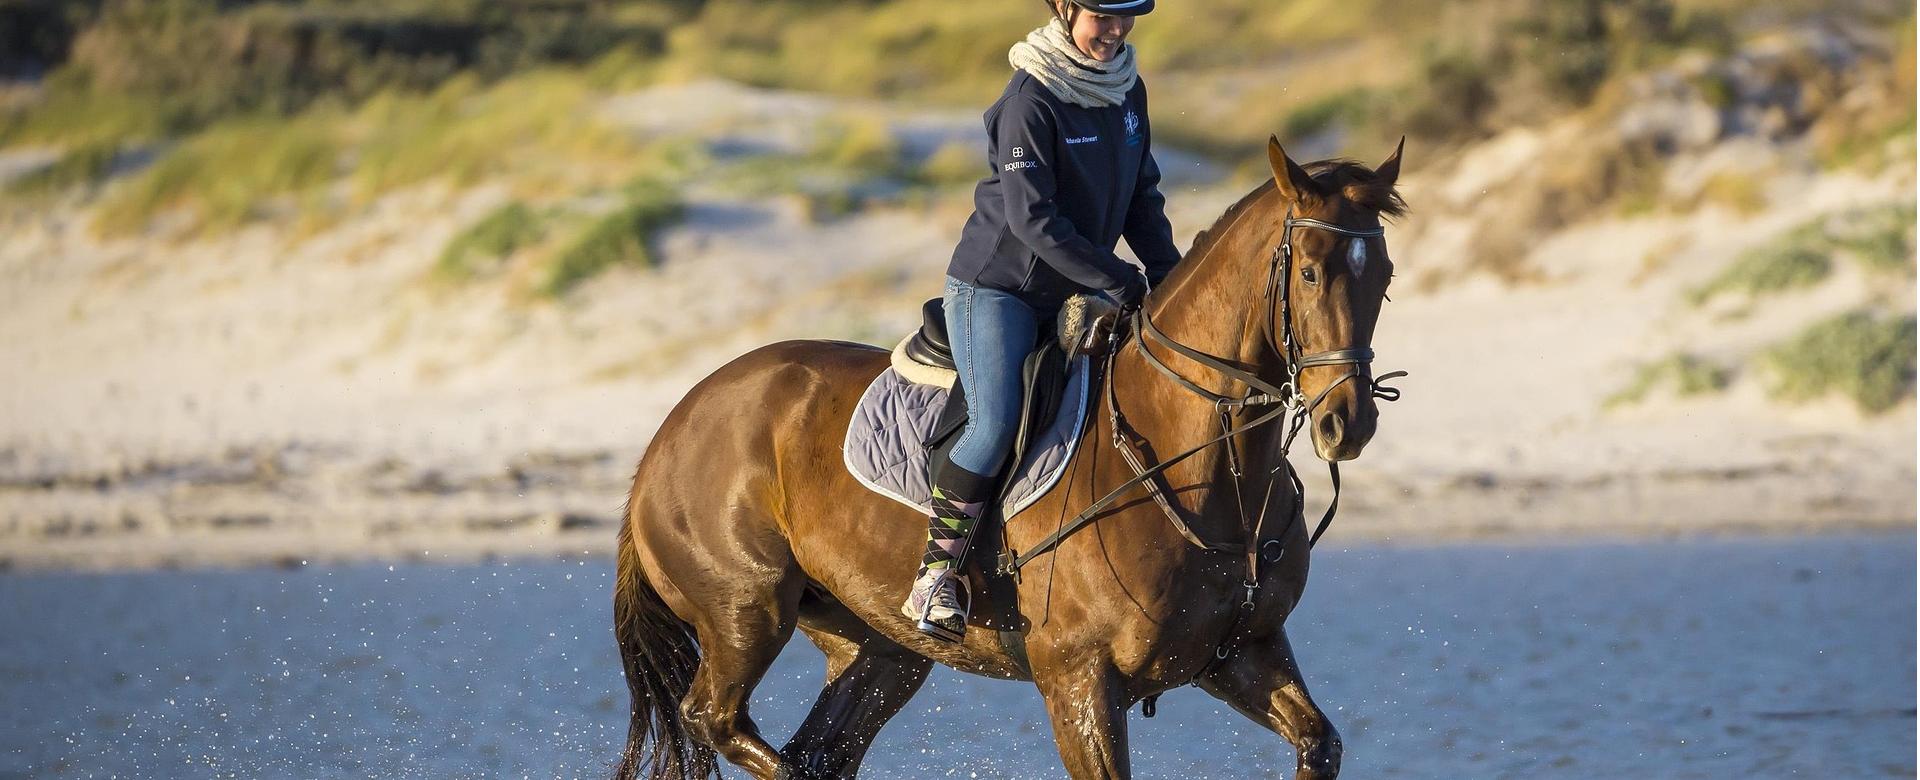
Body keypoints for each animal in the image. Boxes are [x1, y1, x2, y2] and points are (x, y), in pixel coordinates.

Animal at [611, 136, 1406, 780]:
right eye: (1310, 273)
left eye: (1385, 275)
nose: (1346, 423)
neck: (1205, 474)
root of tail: (670, 430)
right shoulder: (1079, 680)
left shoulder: (1242, 653)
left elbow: (1320, 743)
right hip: (744, 611)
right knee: (716, 718)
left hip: (879, 648)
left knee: (818, 750)